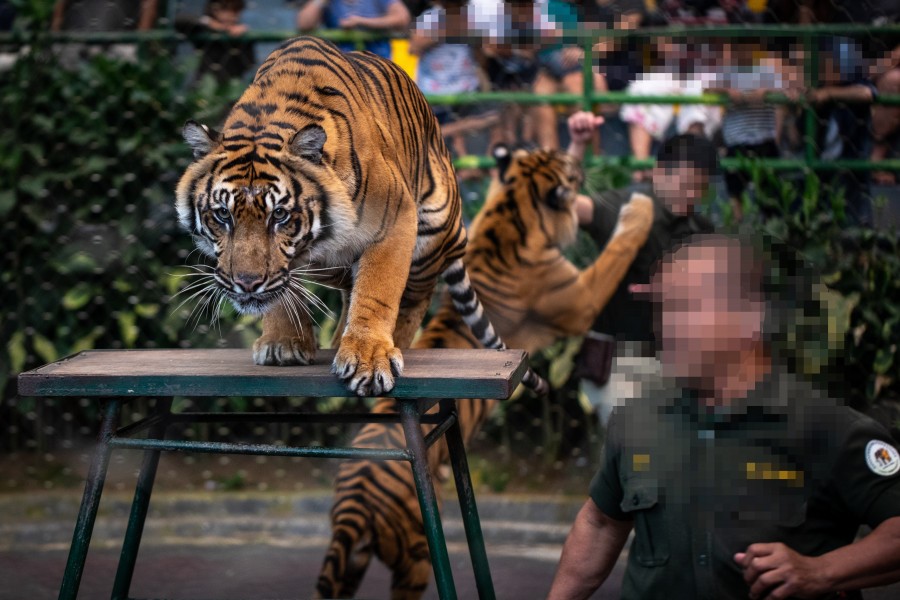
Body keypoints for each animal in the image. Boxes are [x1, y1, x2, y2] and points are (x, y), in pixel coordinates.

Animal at [173, 35, 544, 396]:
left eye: (279, 215)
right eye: (222, 215)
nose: (246, 283)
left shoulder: (395, 220)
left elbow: (378, 291)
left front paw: (369, 358)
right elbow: (285, 293)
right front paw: (283, 343)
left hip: (432, 233)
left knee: (415, 297)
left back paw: (390, 343)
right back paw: (338, 339)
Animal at [316, 145, 652, 600]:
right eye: (565, 165)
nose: (578, 159)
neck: (512, 211)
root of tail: (355, 502)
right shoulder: (581, 298)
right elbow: (618, 250)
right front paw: (640, 207)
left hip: (348, 566)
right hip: (416, 556)